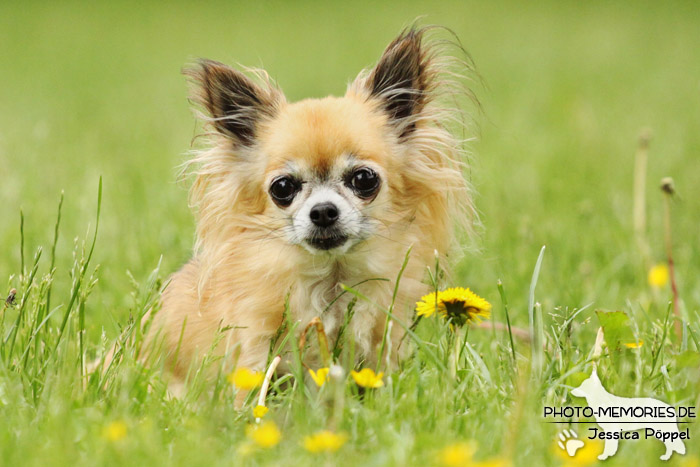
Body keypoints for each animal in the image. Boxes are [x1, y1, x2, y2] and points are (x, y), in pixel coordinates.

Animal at [117, 26, 476, 398]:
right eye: (282, 188)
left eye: (364, 179)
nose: (323, 211)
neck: (330, 282)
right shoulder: (254, 343)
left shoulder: (380, 344)